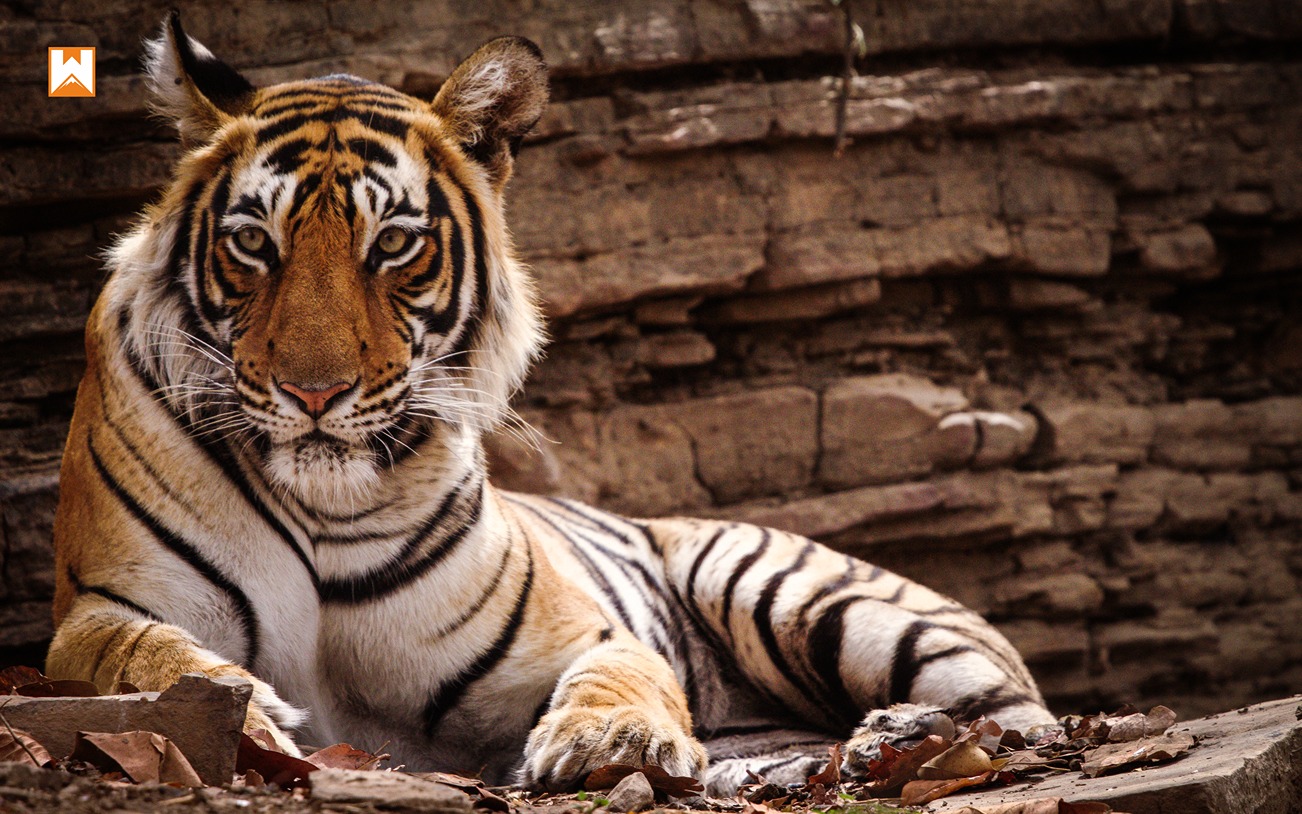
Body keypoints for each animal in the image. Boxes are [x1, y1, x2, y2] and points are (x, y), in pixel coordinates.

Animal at [46, 12, 1056, 796]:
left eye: (394, 243)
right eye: (255, 243)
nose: (314, 391)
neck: (326, 503)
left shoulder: (581, 631)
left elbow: (623, 672)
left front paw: (613, 741)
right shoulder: (106, 607)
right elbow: (146, 659)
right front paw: (253, 714)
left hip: (801, 593)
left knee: (1024, 721)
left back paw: (903, 733)